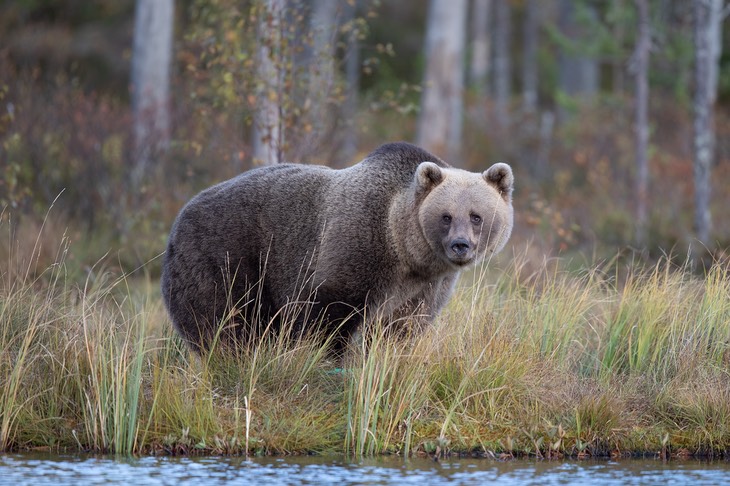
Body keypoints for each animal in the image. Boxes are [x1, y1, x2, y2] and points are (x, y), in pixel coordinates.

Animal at [159, 141, 512, 354]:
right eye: (446, 216)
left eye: (476, 216)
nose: (460, 245)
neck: (404, 249)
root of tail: (181, 214)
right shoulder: (355, 248)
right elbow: (328, 315)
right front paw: (323, 358)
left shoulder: (423, 287)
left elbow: (402, 327)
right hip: (225, 255)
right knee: (222, 320)